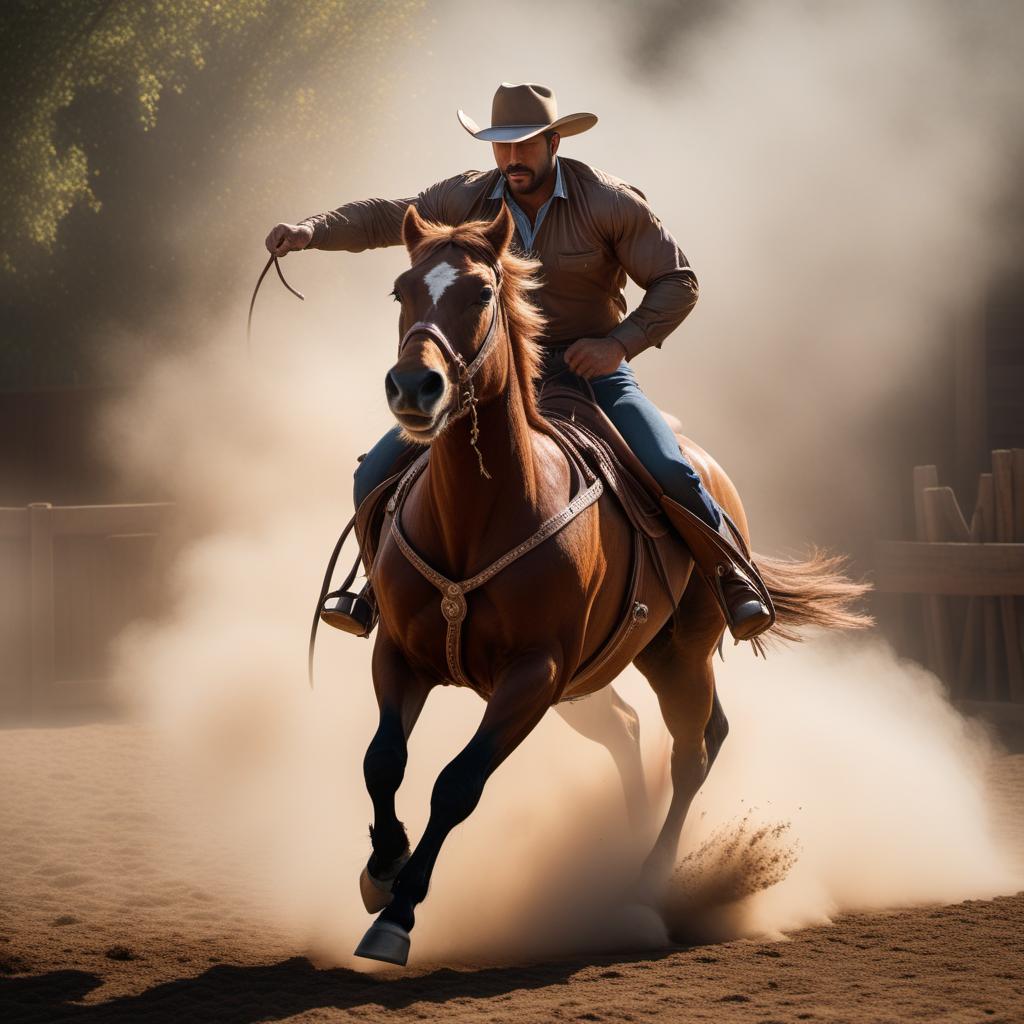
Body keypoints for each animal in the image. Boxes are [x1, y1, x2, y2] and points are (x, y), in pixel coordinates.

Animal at [348, 203, 868, 962]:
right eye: (400, 290)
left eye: (481, 292)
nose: (415, 387)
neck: (479, 515)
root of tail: (709, 472)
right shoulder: (400, 654)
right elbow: (383, 760)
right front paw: (381, 869)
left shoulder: (534, 673)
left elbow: (457, 784)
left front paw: (399, 915)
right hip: (612, 670)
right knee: (635, 730)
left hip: (680, 656)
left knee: (693, 750)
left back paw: (644, 888)